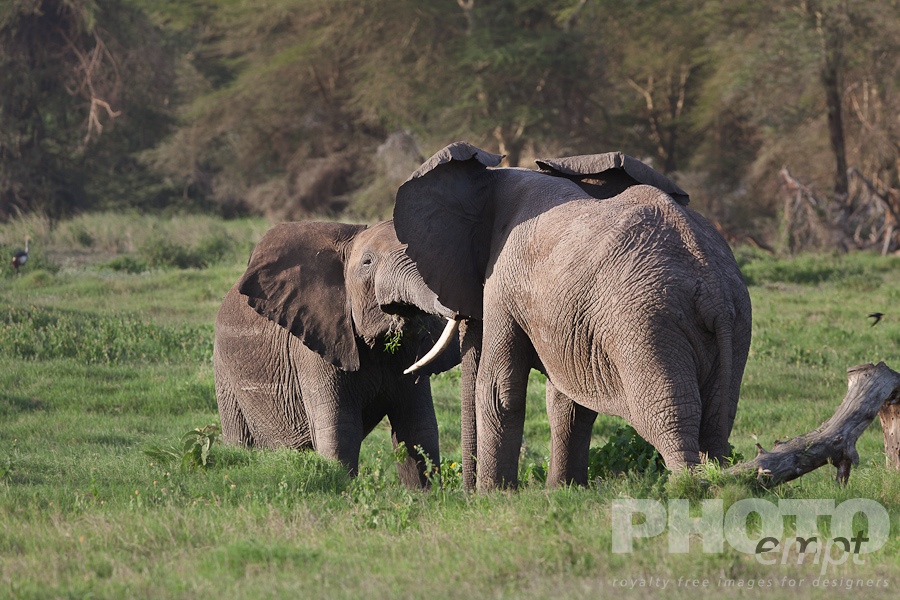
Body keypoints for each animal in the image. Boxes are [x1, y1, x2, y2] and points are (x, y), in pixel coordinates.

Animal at [213, 220, 459, 488]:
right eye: (367, 262)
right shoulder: (313, 343)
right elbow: (341, 429)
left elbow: (417, 428)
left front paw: (424, 495)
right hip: (225, 375)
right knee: (239, 438)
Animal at [394, 142, 752, 490]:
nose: (466, 493)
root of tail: (713, 288)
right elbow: (567, 402)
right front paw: (562, 491)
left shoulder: (504, 282)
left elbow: (498, 388)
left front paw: (495, 496)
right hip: (735, 325)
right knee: (716, 422)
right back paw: (719, 482)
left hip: (648, 325)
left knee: (666, 416)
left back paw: (688, 488)